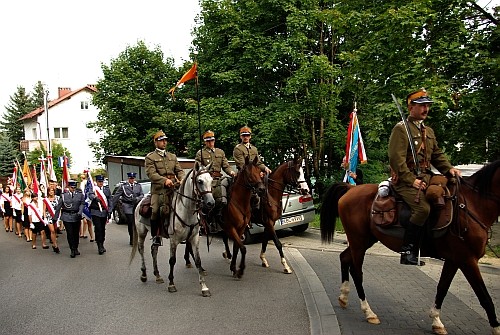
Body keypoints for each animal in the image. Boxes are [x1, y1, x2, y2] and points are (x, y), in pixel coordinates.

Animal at [130, 164, 214, 298]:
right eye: (200, 181)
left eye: (211, 180)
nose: (211, 203)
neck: (186, 211)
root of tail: (140, 201)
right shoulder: (174, 240)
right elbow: (172, 260)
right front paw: (171, 284)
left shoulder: (194, 238)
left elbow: (198, 261)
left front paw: (204, 287)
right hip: (142, 232)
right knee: (141, 250)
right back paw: (144, 275)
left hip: (156, 234)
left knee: (154, 250)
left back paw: (157, 275)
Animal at [320, 161, 500, 335]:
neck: (472, 205)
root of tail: (351, 189)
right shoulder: (467, 260)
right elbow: (484, 296)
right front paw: (496, 327)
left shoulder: (454, 260)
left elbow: (442, 288)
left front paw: (436, 321)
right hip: (358, 242)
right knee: (357, 272)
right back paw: (368, 312)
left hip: (363, 241)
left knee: (344, 258)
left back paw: (343, 297)